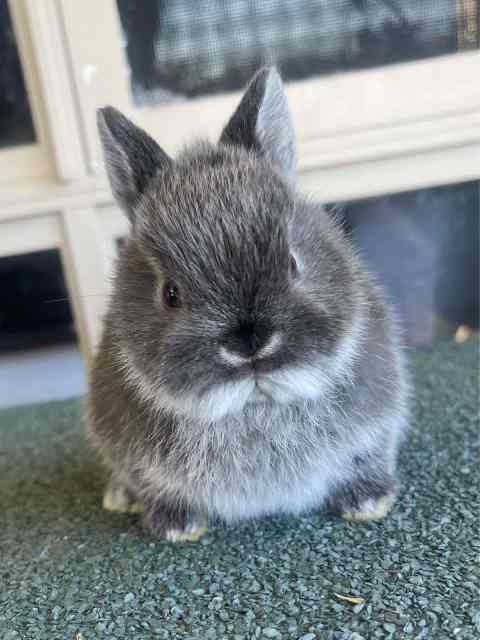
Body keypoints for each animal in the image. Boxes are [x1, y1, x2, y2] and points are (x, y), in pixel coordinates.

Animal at [88, 67, 409, 541]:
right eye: (170, 293)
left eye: (293, 262)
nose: (249, 343)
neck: (254, 409)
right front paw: (177, 527)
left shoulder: (376, 422)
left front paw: (368, 502)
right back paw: (119, 497)